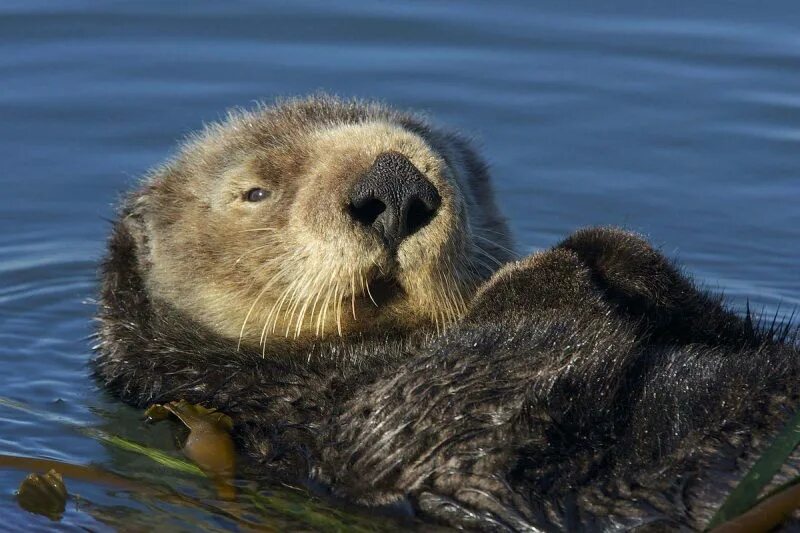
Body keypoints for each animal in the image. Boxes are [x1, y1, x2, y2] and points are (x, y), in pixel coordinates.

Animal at [95, 94, 800, 528]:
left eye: (457, 165)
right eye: (256, 191)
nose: (394, 184)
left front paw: (612, 249)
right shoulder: (326, 427)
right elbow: (443, 416)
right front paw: (547, 268)